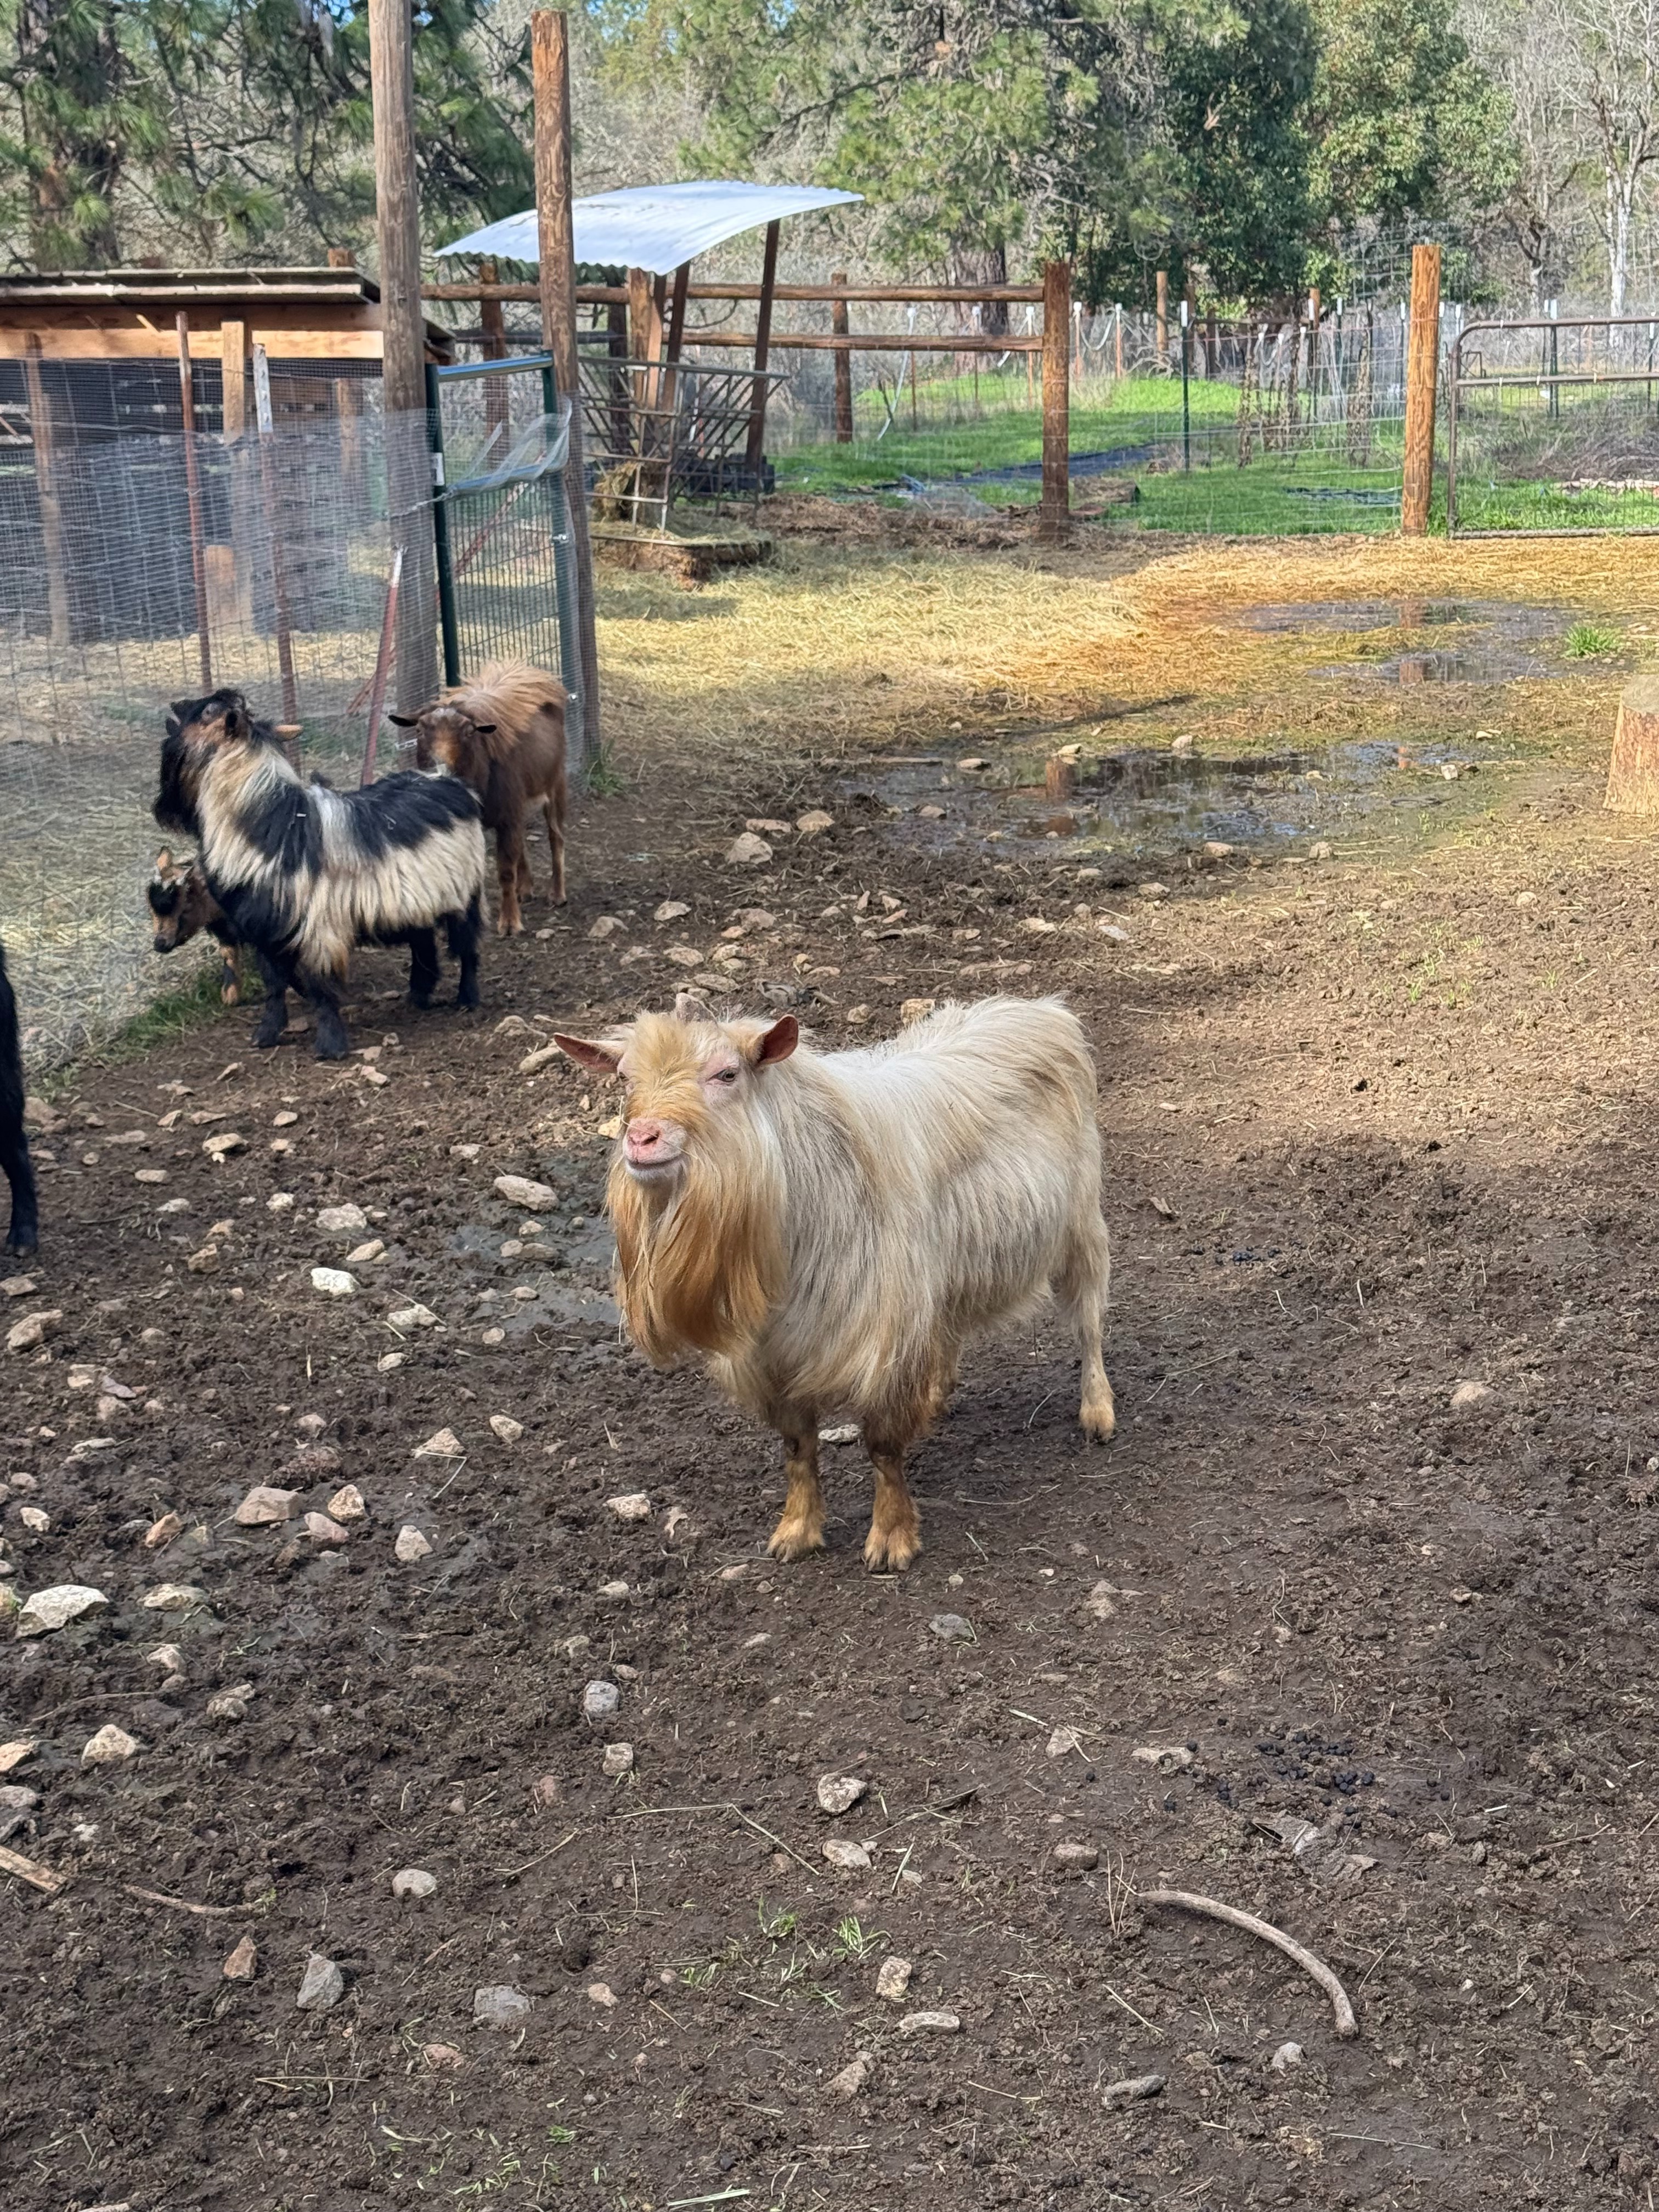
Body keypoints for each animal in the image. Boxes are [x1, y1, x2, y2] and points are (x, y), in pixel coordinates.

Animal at [155, 689, 487, 1061]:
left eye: (207, 712)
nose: (178, 704)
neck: (272, 822)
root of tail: (447, 779)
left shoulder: (319, 928)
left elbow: (321, 987)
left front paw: (331, 1046)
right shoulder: (265, 930)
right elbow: (274, 985)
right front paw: (266, 1035)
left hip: (465, 893)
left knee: (467, 945)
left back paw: (467, 999)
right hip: (417, 904)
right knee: (424, 944)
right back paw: (418, 997)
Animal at [392, 660, 567, 935]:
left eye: (469, 732)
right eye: (419, 730)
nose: (440, 769)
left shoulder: (509, 814)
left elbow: (505, 870)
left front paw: (510, 923)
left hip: (555, 784)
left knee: (555, 837)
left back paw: (557, 895)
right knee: (523, 843)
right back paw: (525, 889)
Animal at [555, 995, 1114, 1572]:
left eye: (727, 1074)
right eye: (625, 1078)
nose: (642, 1138)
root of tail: (1038, 1009)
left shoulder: (885, 1337)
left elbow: (883, 1449)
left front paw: (890, 1539)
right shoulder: (772, 1356)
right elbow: (798, 1449)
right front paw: (797, 1531)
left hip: (1081, 1226)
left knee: (1089, 1322)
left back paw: (1098, 1411)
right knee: (949, 1328)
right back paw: (938, 1393)